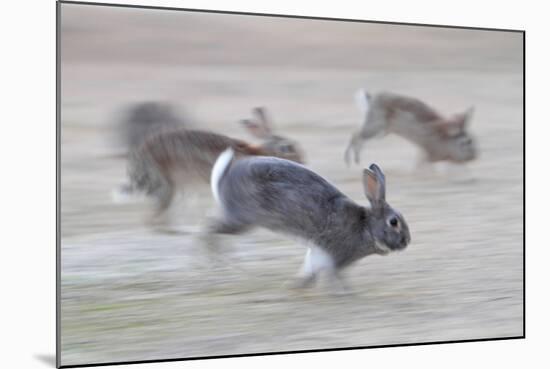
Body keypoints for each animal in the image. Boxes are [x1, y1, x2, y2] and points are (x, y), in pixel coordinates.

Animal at [205, 148, 412, 292]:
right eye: (394, 222)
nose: (407, 241)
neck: (366, 227)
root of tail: (224, 180)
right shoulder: (334, 256)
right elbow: (332, 274)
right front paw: (344, 292)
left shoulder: (318, 251)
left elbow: (311, 268)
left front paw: (295, 286)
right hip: (242, 220)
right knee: (207, 229)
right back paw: (212, 259)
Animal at [344, 89, 478, 165]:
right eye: (466, 142)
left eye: (473, 140)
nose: (475, 156)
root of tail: (372, 100)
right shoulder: (429, 153)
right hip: (375, 127)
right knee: (355, 135)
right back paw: (349, 160)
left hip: (381, 132)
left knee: (359, 137)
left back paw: (356, 160)